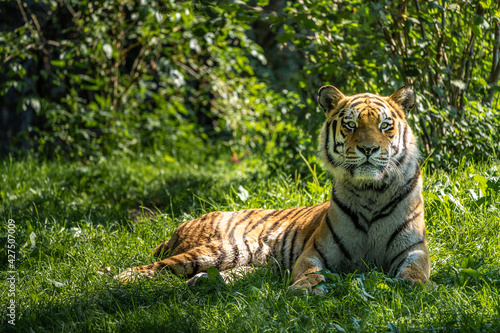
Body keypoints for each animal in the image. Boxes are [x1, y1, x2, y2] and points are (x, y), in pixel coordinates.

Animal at [113, 85, 430, 294]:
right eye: (351, 125)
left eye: (385, 125)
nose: (368, 149)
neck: (370, 192)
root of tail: (184, 225)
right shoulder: (315, 251)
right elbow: (308, 270)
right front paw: (305, 288)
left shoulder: (414, 248)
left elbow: (416, 270)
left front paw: (411, 286)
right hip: (223, 248)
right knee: (153, 267)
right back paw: (116, 281)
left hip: (253, 261)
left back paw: (202, 282)